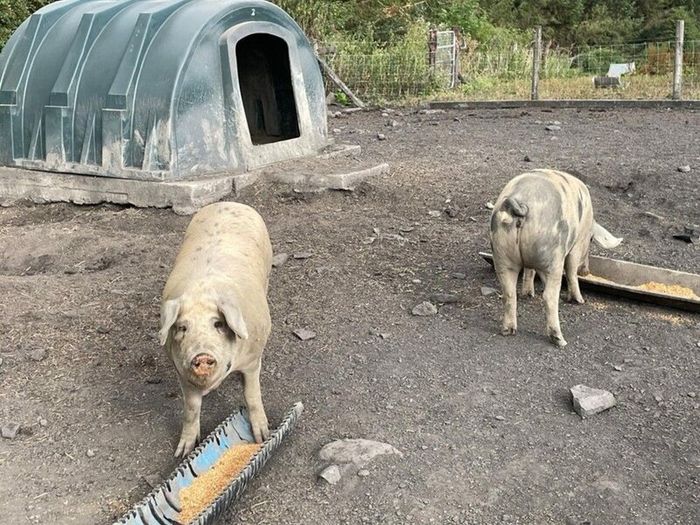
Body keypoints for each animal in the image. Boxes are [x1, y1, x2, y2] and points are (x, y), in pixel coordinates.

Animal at [159, 202, 273, 457]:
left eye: (218, 324)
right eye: (182, 327)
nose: (201, 355)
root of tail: (228, 203)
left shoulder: (252, 359)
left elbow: (252, 395)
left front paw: (262, 437)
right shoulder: (181, 371)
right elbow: (191, 409)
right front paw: (183, 452)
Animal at [489, 169, 622, 347]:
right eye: (591, 239)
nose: (586, 271)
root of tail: (520, 204)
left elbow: (529, 271)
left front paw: (529, 293)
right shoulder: (576, 245)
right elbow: (571, 270)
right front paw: (580, 301)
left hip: (502, 255)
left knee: (509, 293)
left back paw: (508, 330)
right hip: (552, 257)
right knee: (549, 296)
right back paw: (560, 340)